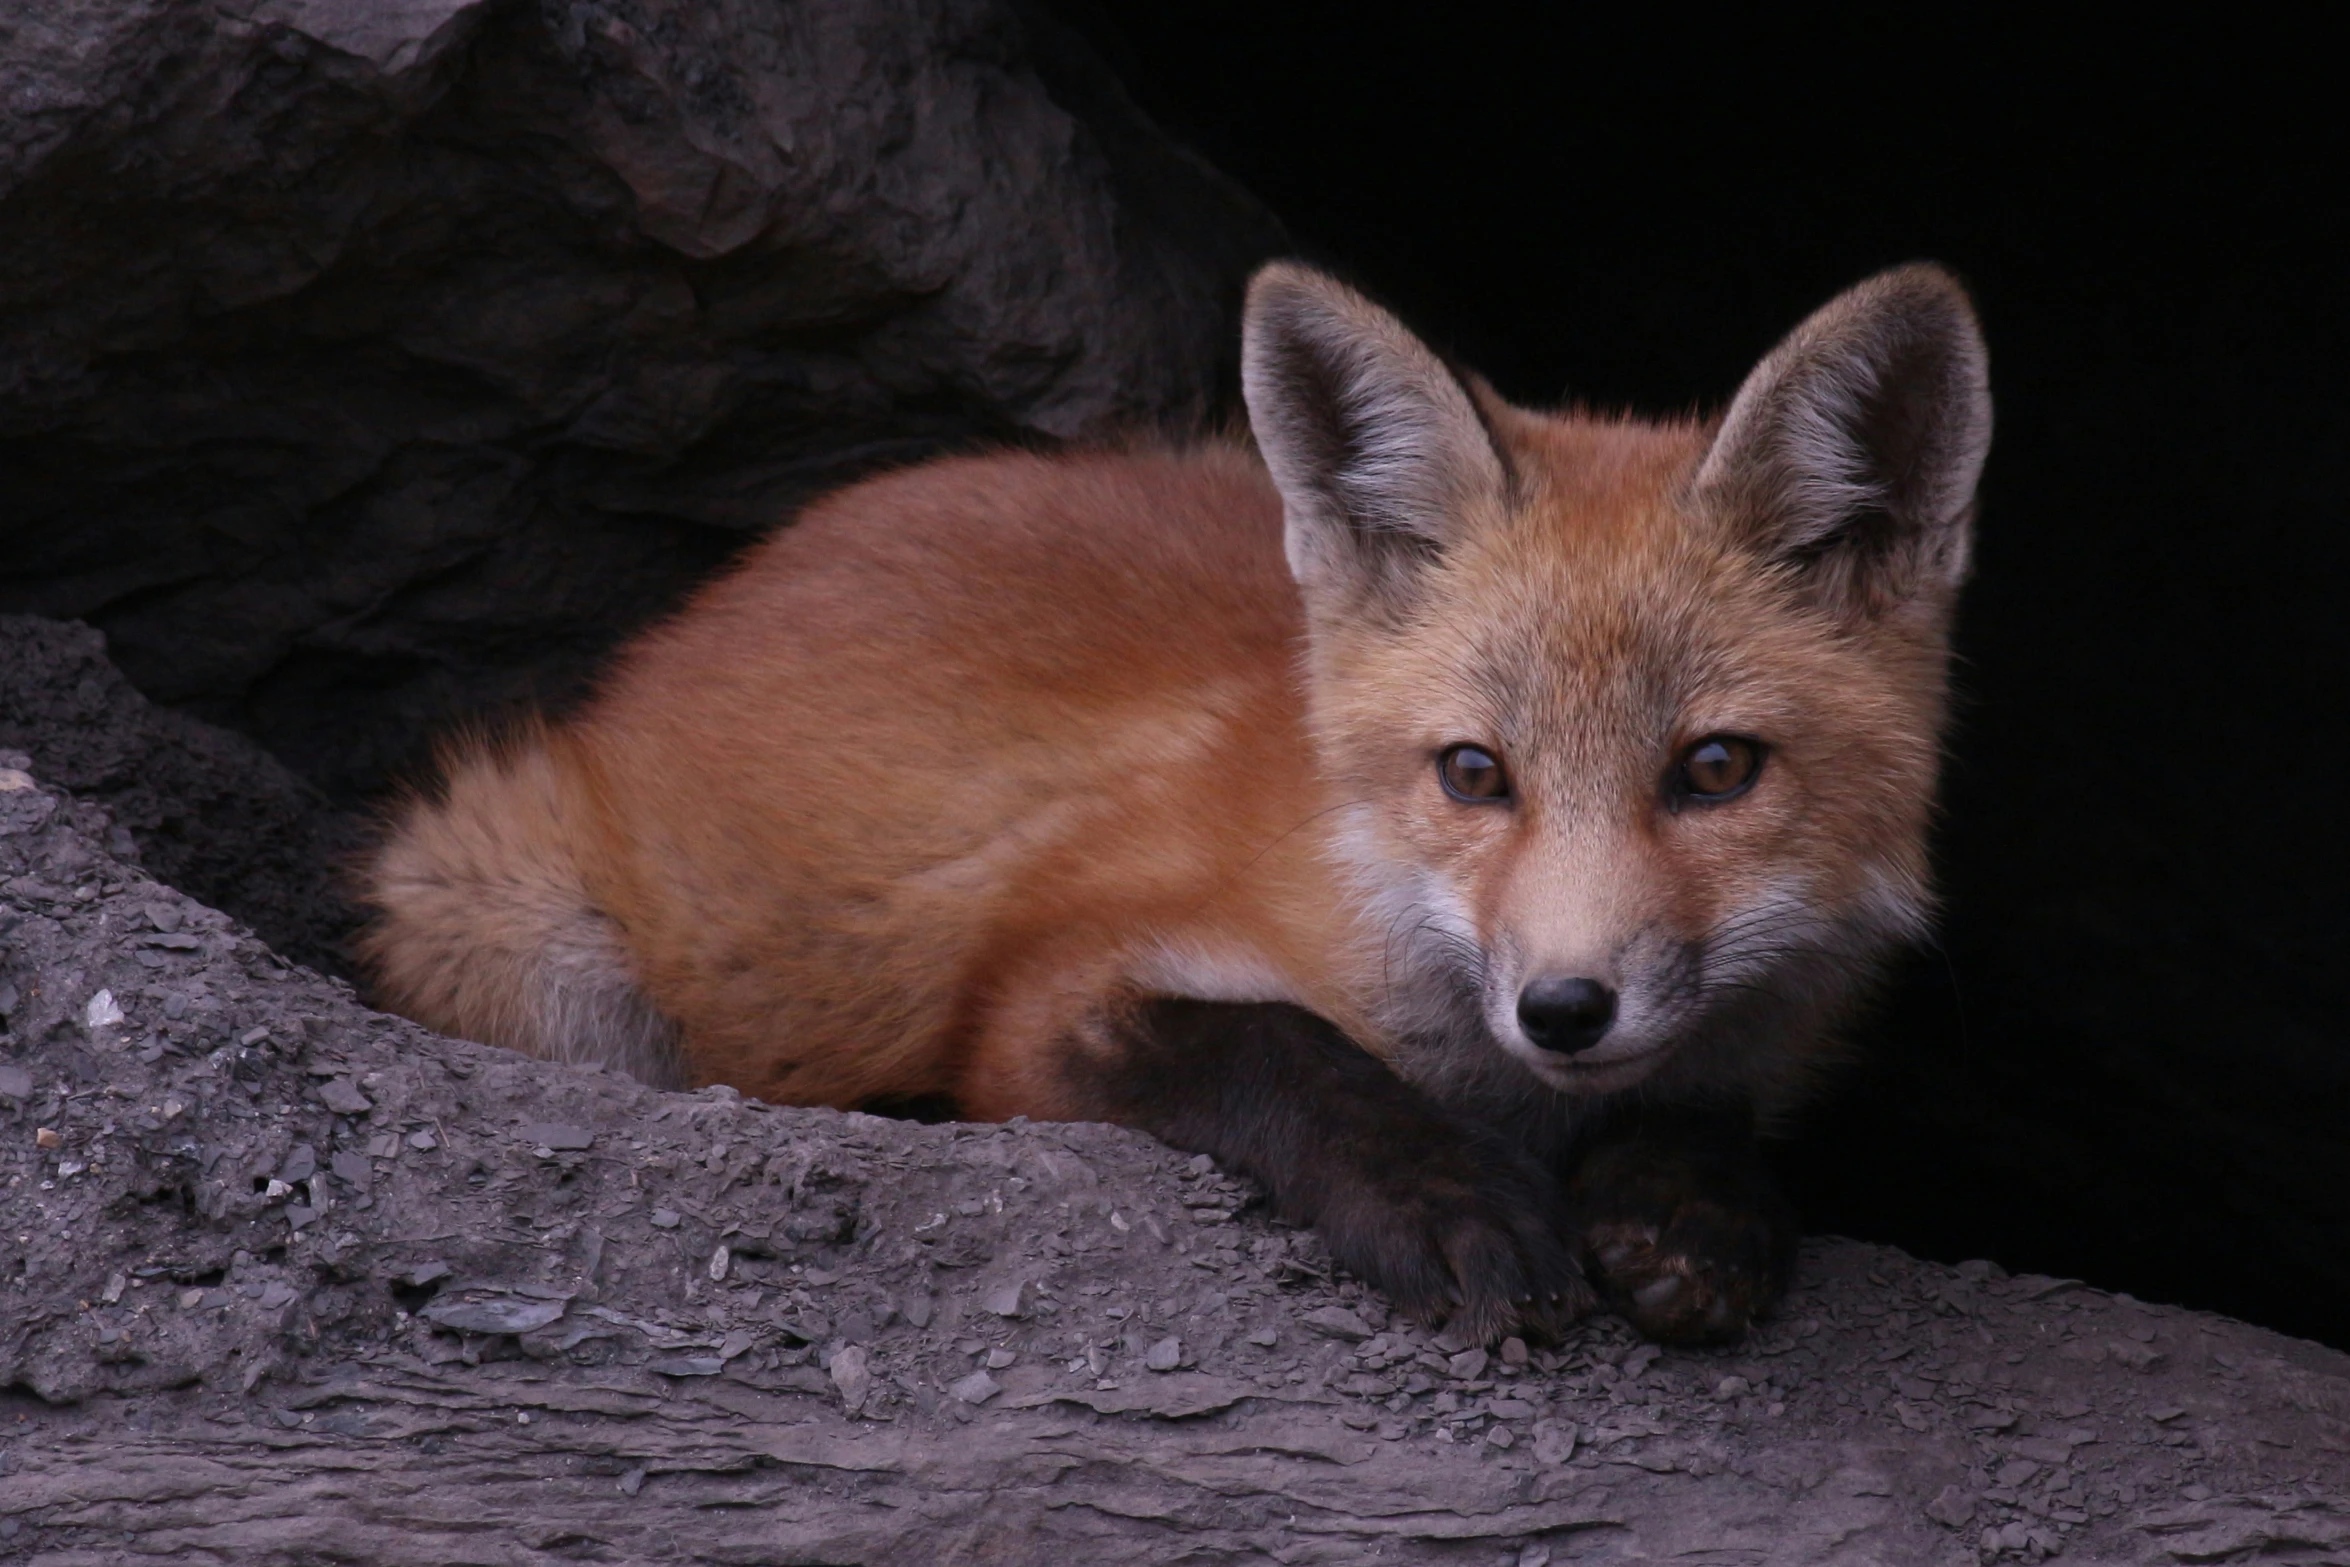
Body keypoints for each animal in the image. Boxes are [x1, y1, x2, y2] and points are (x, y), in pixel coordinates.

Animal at [361, 263, 1983, 1343]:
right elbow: (1275, 1050)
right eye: (1474, 773)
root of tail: (730, 592)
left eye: (1714, 768)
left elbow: (1704, 1108)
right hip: (503, 916)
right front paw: (1443, 1196)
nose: (1566, 1008)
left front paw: (1691, 1209)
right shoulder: (1037, 993)